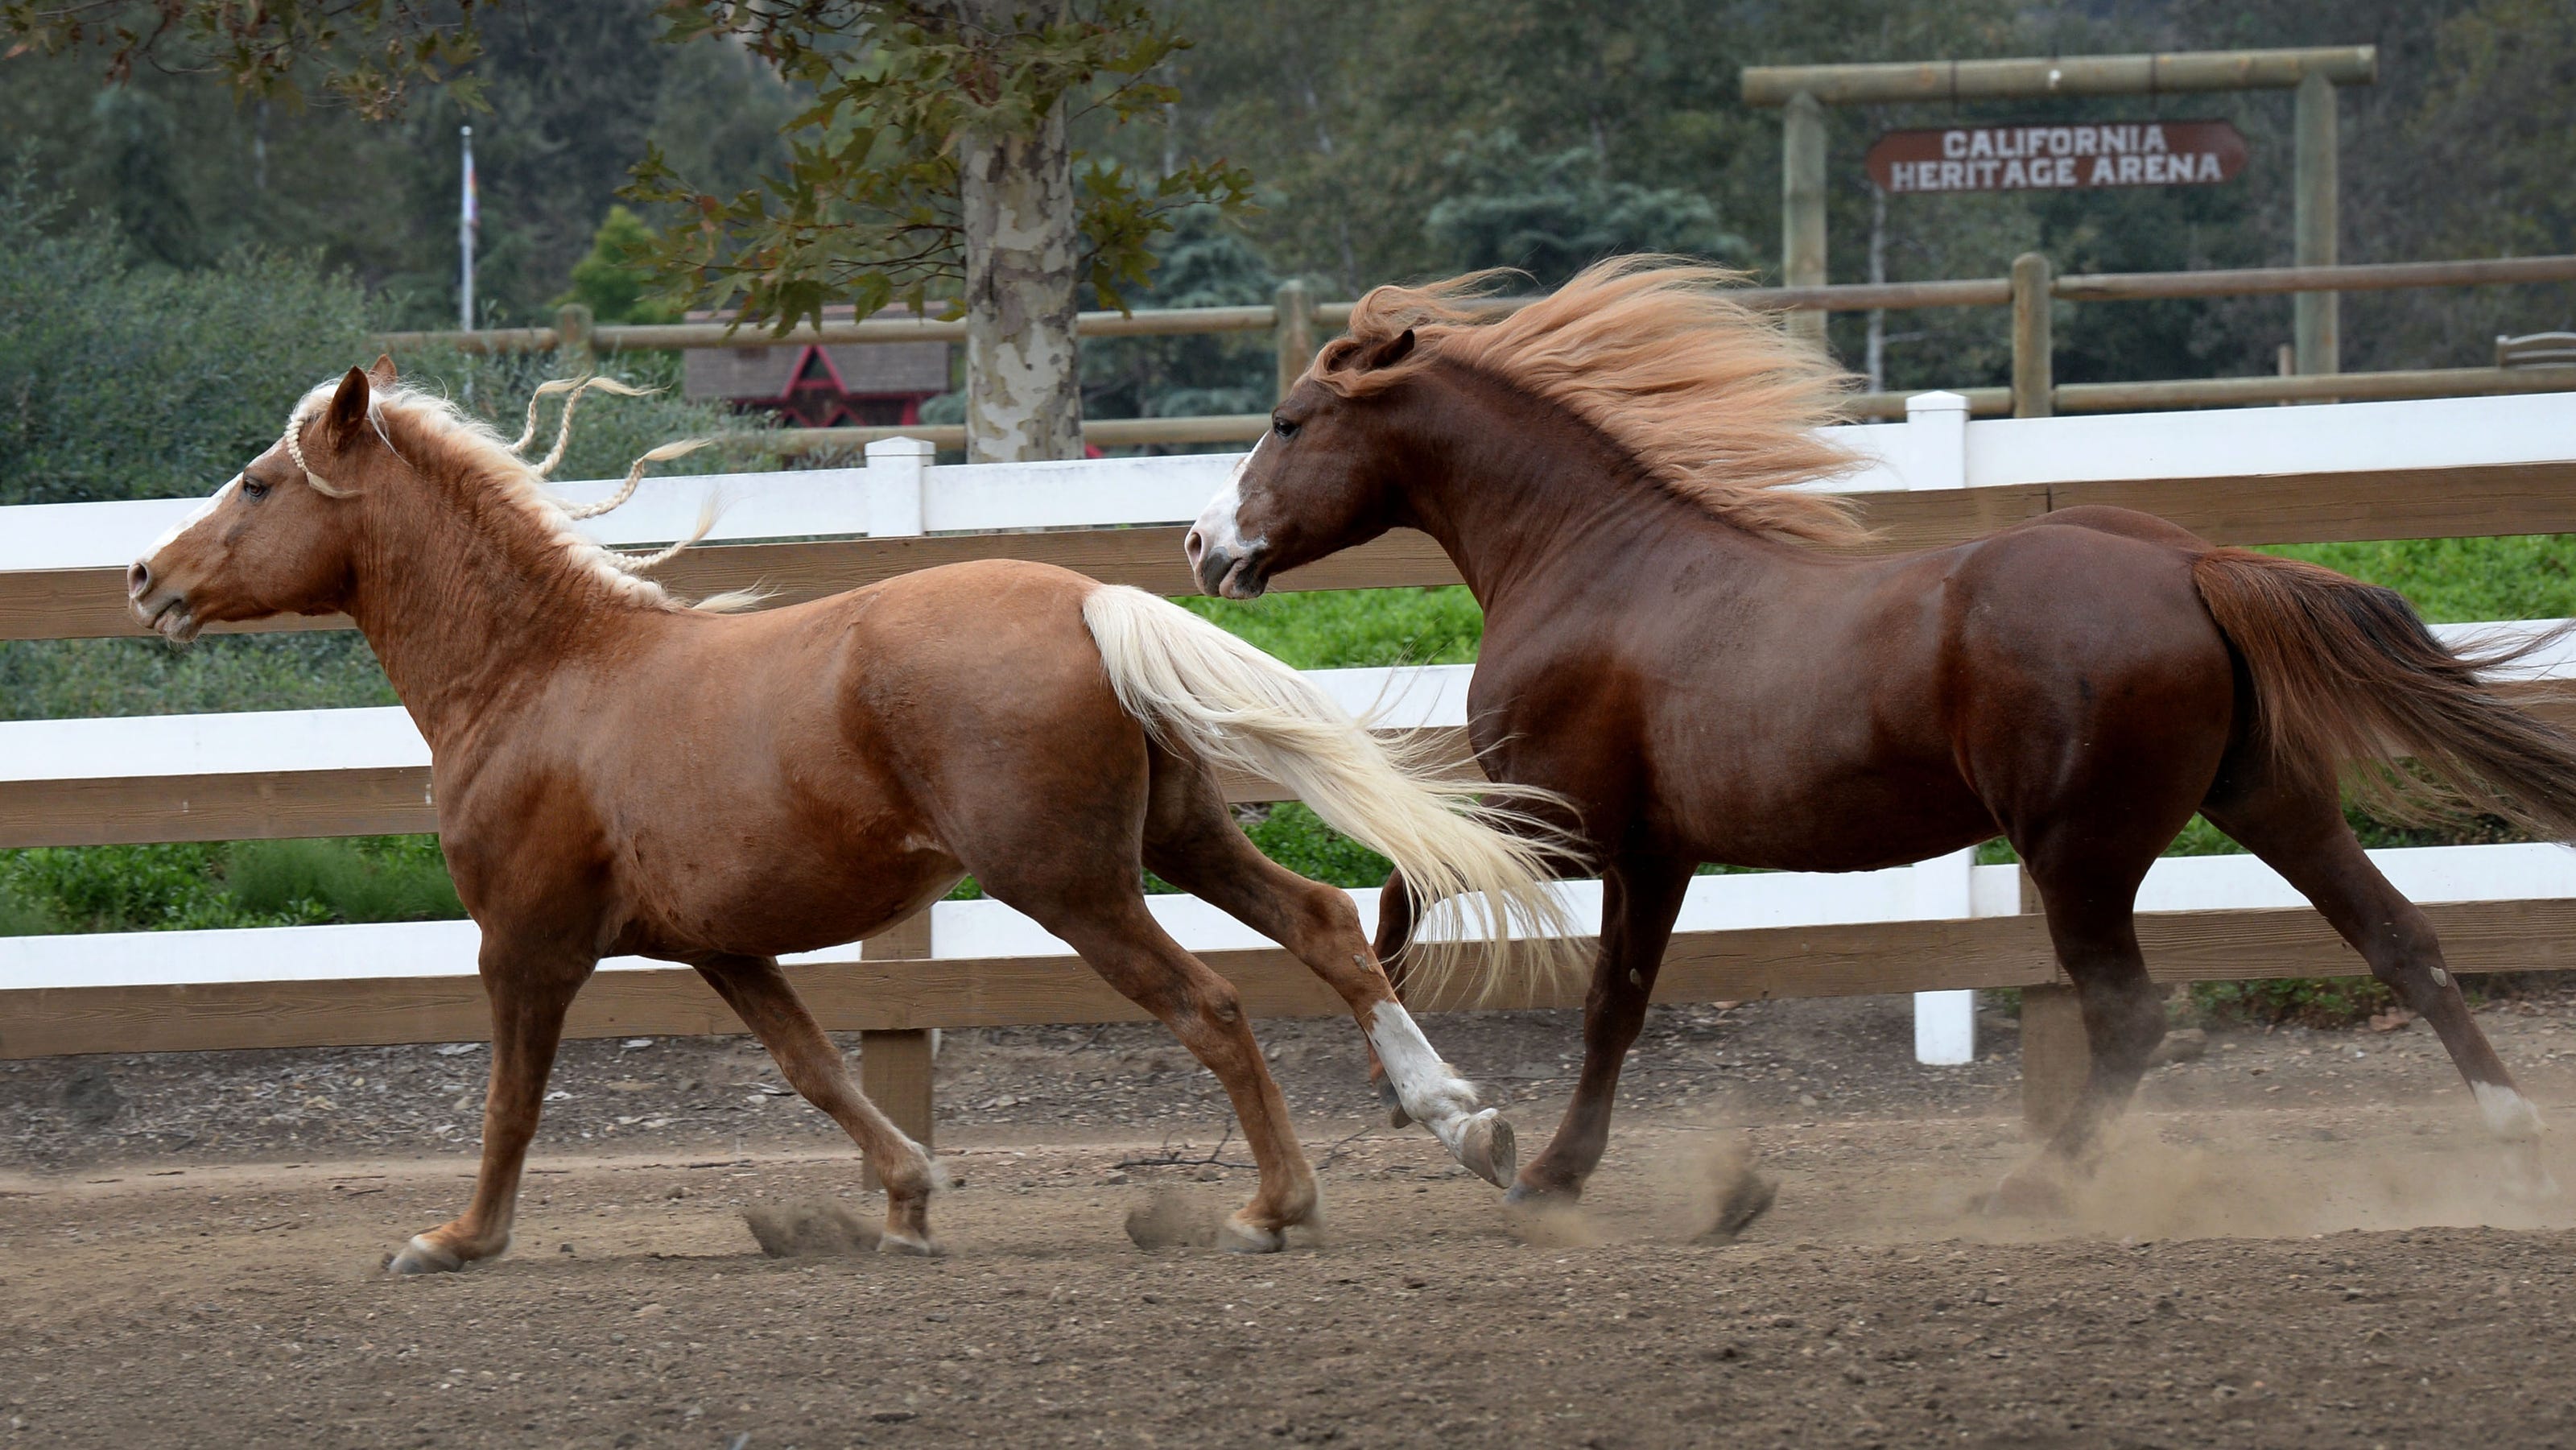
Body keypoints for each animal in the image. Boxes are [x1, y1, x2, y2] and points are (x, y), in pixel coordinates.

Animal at [127, 356, 1575, 1267]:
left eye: (258, 484)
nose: (146, 577)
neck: (539, 676)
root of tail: (1089, 600)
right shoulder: (721, 946)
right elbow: (816, 1068)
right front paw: (908, 1201)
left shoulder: (526, 943)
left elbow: (513, 1100)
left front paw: (454, 1240)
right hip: (1179, 836)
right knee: (1327, 925)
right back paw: (1467, 1123)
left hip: (1073, 883)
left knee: (1211, 1006)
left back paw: (1279, 1207)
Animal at [1184, 257, 2576, 1211]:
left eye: (1290, 422)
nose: (1203, 545)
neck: (1589, 562)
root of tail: (2191, 563)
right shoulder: (1658, 854)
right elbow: (1607, 1002)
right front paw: (1529, 1155)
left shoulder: (1574, 827)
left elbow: (1417, 904)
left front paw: (1464, 1125)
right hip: (2266, 798)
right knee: (2402, 938)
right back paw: (2513, 1141)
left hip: (2080, 851)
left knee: (2131, 1018)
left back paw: (2031, 1186)